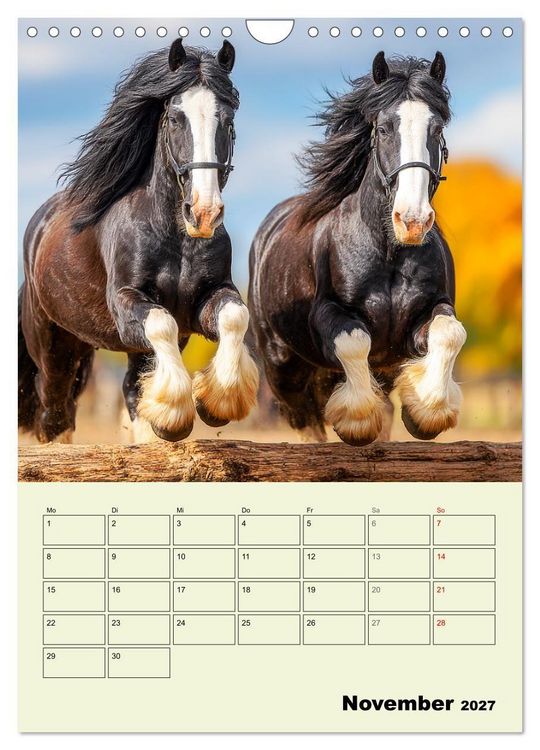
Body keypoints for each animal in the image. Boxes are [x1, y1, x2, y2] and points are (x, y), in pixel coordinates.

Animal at [18, 38, 258, 444]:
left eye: (228, 121)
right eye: (175, 118)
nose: (204, 213)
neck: (175, 236)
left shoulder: (206, 299)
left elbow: (234, 317)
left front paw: (215, 403)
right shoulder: (127, 301)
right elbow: (162, 324)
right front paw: (176, 413)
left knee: (131, 388)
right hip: (55, 347)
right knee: (55, 412)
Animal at [249, 51, 466, 446]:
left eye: (437, 130)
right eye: (383, 129)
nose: (412, 220)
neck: (389, 254)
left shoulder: (427, 315)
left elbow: (449, 333)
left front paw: (426, 413)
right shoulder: (327, 313)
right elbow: (354, 341)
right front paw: (355, 420)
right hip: (282, 364)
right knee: (304, 418)